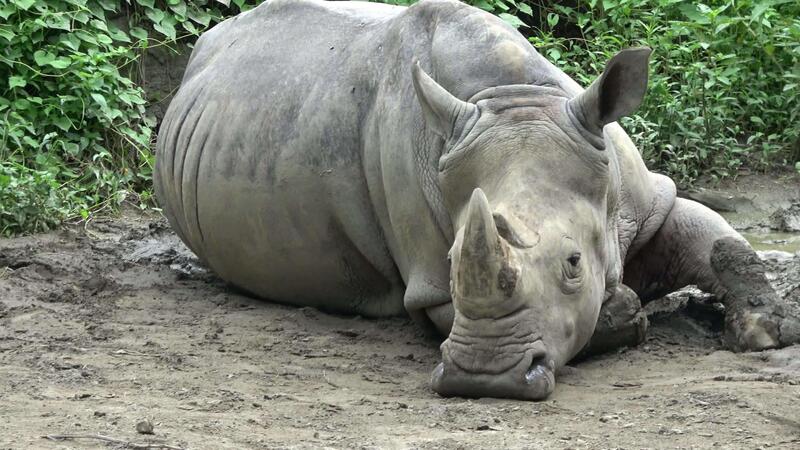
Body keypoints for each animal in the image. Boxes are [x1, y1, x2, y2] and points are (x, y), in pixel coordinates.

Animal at [155, 0, 799, 400]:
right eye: (451, 260)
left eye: (573, 263)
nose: (483, 378)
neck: (515, 96)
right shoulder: (429, 284)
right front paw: (630, 314)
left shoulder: (640, 196)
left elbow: (715, 238)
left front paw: (767, 331)